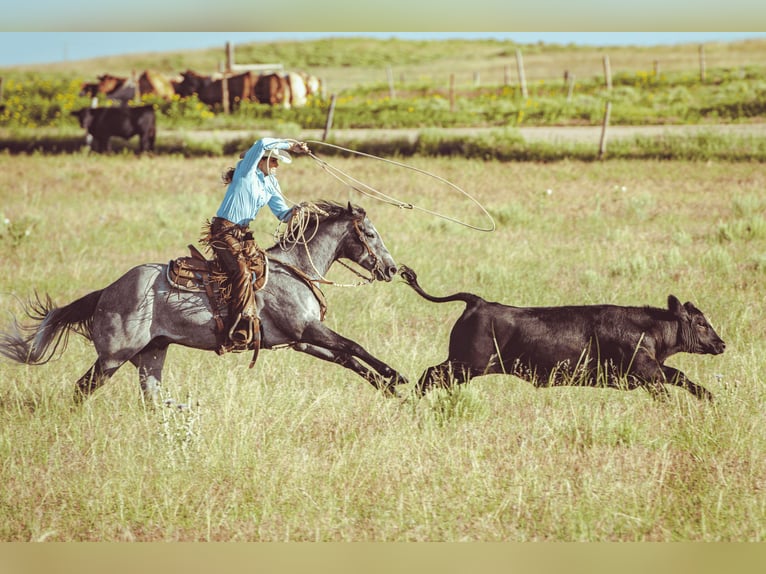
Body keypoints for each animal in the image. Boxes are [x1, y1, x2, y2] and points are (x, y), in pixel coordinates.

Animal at [0, 201, 406, 403]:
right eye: (370, 233)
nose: (391, 268)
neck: (295, 268)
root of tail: (105, 292)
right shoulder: (306, 328)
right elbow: (353, 346)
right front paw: (396, 376)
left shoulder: (302, 340)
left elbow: (347, 357)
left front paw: (391, 389)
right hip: (113, 357)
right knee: (81, 389)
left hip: (152, 354)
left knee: (151, 397)